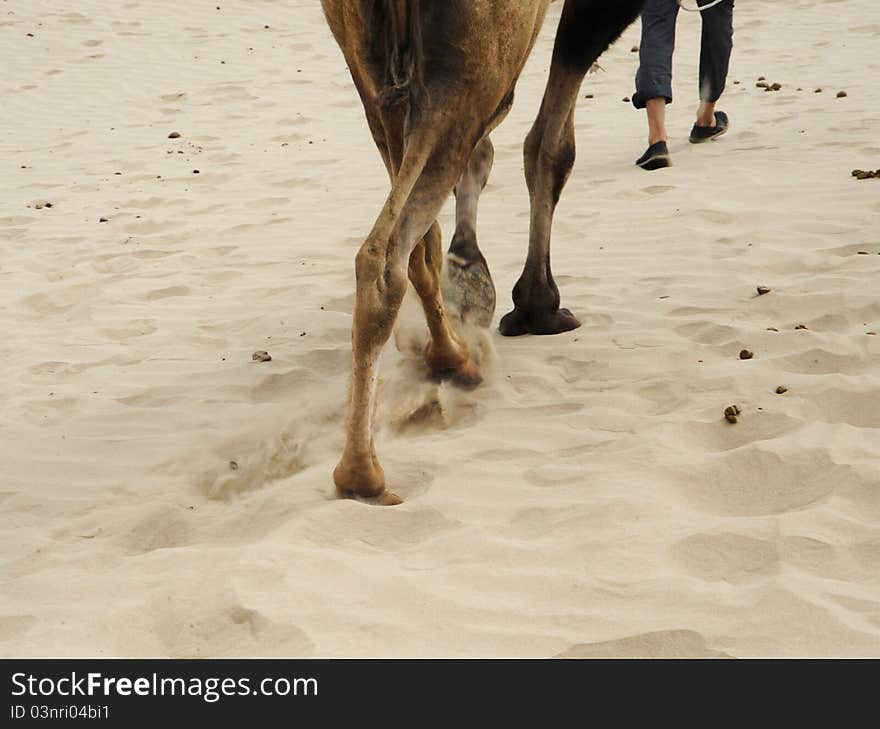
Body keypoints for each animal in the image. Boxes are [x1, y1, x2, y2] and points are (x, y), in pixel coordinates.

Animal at [320, 0, 644, 504]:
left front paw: (473, 274)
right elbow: (550, 147)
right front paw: (537, 305)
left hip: (371, 72)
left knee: (416, 241)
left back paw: (450, 354)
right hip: (462, 77)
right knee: (385, 257)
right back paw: (364, 473)